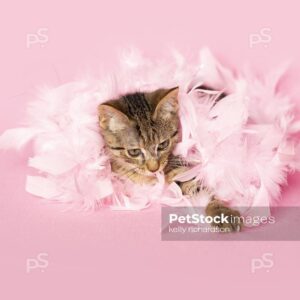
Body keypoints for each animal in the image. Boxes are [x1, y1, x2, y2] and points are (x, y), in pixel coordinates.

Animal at [99, 87, 243, 232]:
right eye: (134, 152)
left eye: (163, 144)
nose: (154, 168)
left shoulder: (177, 168)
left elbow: (197, 186)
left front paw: (222, 213)